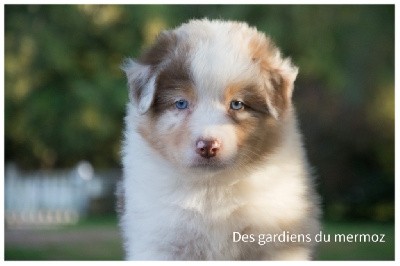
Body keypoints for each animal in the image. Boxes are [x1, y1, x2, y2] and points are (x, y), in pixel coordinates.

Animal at [120, 18, 320, 260]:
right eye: (181, 103)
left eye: (237, 104)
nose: (207, 146)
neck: (212, 187)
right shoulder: (162, 242)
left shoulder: (275, 244)